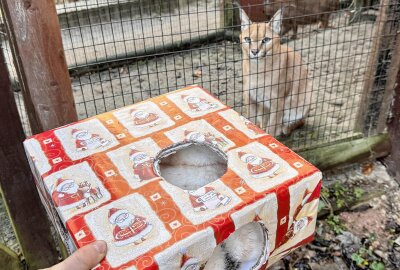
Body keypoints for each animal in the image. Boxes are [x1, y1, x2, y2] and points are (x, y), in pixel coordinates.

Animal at [239, 7, 310, 137]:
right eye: (247, 39)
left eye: (266, 40)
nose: (254, 51)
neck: (258, 69)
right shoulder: (249, 96)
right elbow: (251, 121)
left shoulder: (277, 102)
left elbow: (271, 128)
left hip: (306, 96)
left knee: (299, 121)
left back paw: (283, 129)